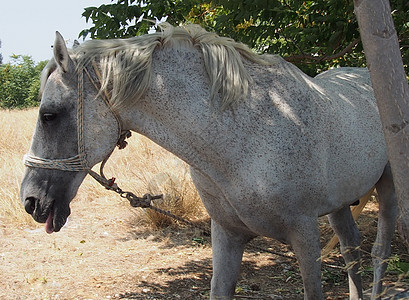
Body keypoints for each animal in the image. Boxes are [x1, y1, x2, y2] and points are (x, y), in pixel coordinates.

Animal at [19, 24, 396, 298]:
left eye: (48, 115)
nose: (30, 200)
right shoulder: (227, 234)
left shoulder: (304, 235)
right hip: (340, 204)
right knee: (351, 249)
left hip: (387, 186)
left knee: (379, 251)